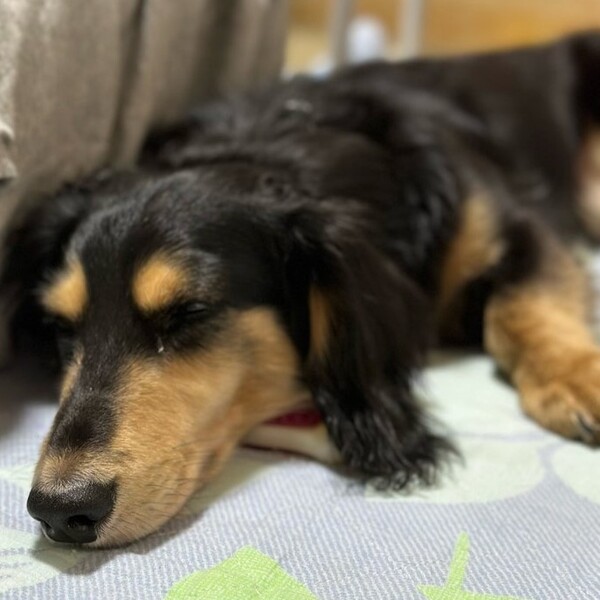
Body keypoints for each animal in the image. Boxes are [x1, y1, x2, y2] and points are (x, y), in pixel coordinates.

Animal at [2, 31, 600, 548]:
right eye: (61, 327)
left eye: (190, 312)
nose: (59, 510)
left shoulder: (523, 226)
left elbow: (515, 308)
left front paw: (576, 376)